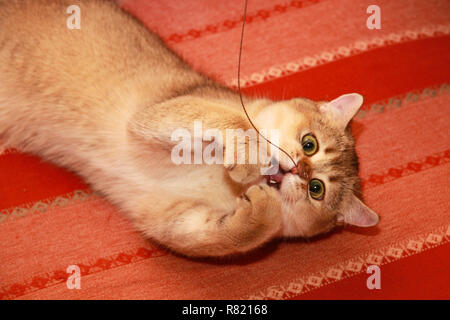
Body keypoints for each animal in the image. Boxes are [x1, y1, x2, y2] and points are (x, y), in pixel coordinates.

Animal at [0, 0, 378, 255]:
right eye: (310, 143)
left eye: (316, 189)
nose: (299, 170)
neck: (217, 183)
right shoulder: (159, 113)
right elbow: (234, 122)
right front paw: (249, 158)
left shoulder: (168, 217)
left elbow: (230, 235)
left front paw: (262, 207)